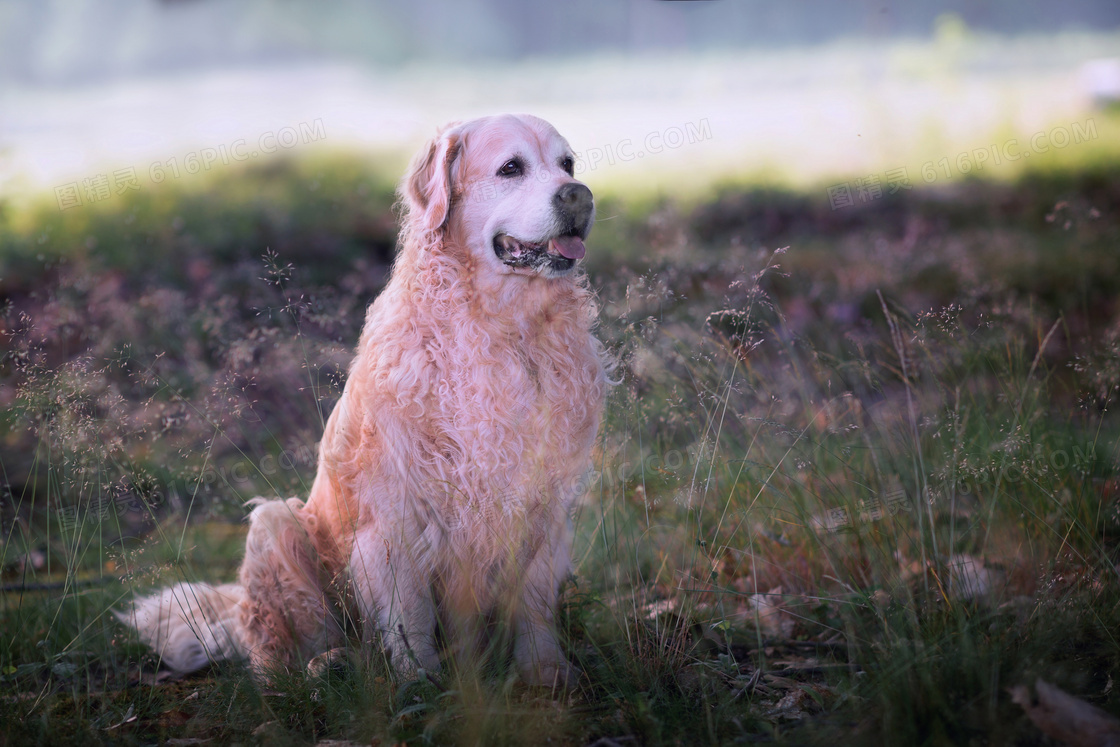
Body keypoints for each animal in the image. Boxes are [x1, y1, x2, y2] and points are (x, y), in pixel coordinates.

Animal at [118, 112, 609, 689]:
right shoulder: (393, 517)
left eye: (567, 164)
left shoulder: (544, 505)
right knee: (276, 656)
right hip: (276, 529)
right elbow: (408, 619)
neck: (505, 328)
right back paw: (320, 665)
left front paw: (546, 673)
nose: (580, 196)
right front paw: (420, 686)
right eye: (512, 168)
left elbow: (533, 603)